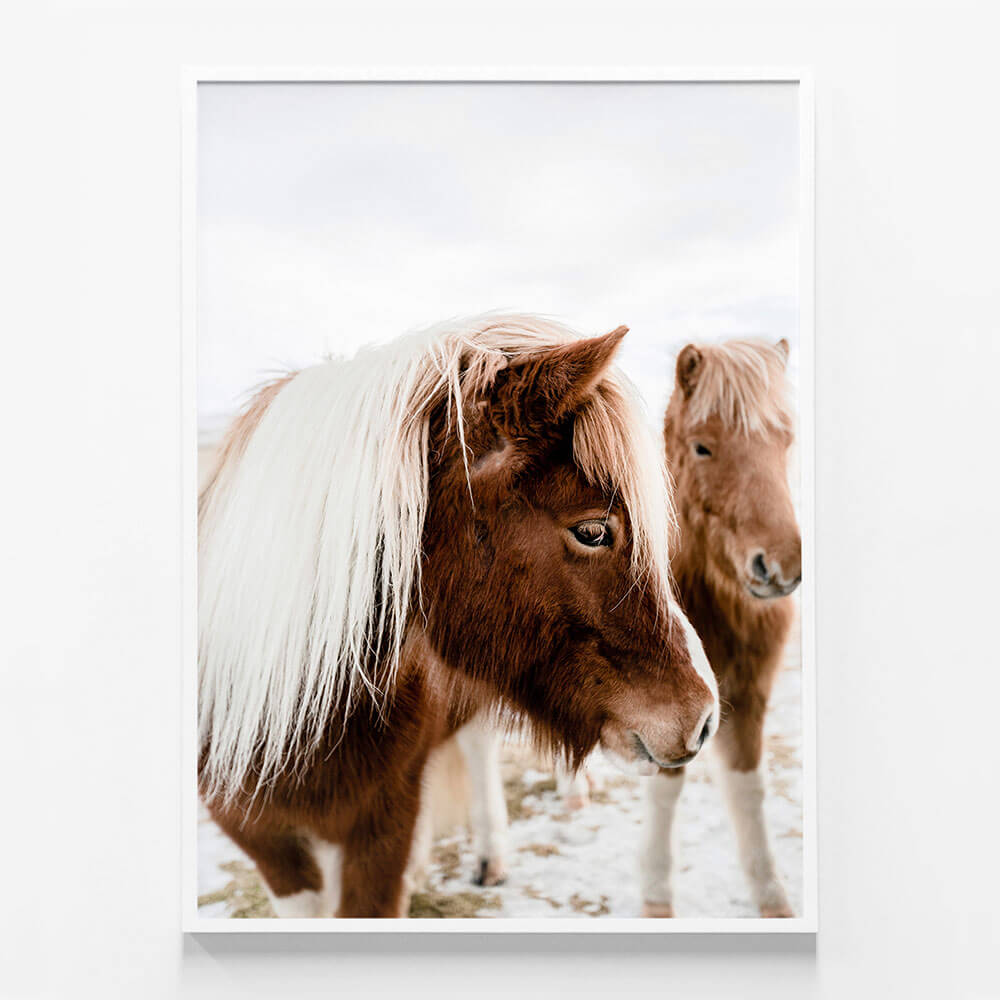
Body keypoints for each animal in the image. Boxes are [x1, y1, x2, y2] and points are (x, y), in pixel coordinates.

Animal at [640, 337, 800, 918]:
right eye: (703, 448)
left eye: (784, 440)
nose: (780, 567)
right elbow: (666, 788)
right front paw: (656, 898)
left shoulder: (749, 693)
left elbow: (748, 788)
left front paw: (772, 898)